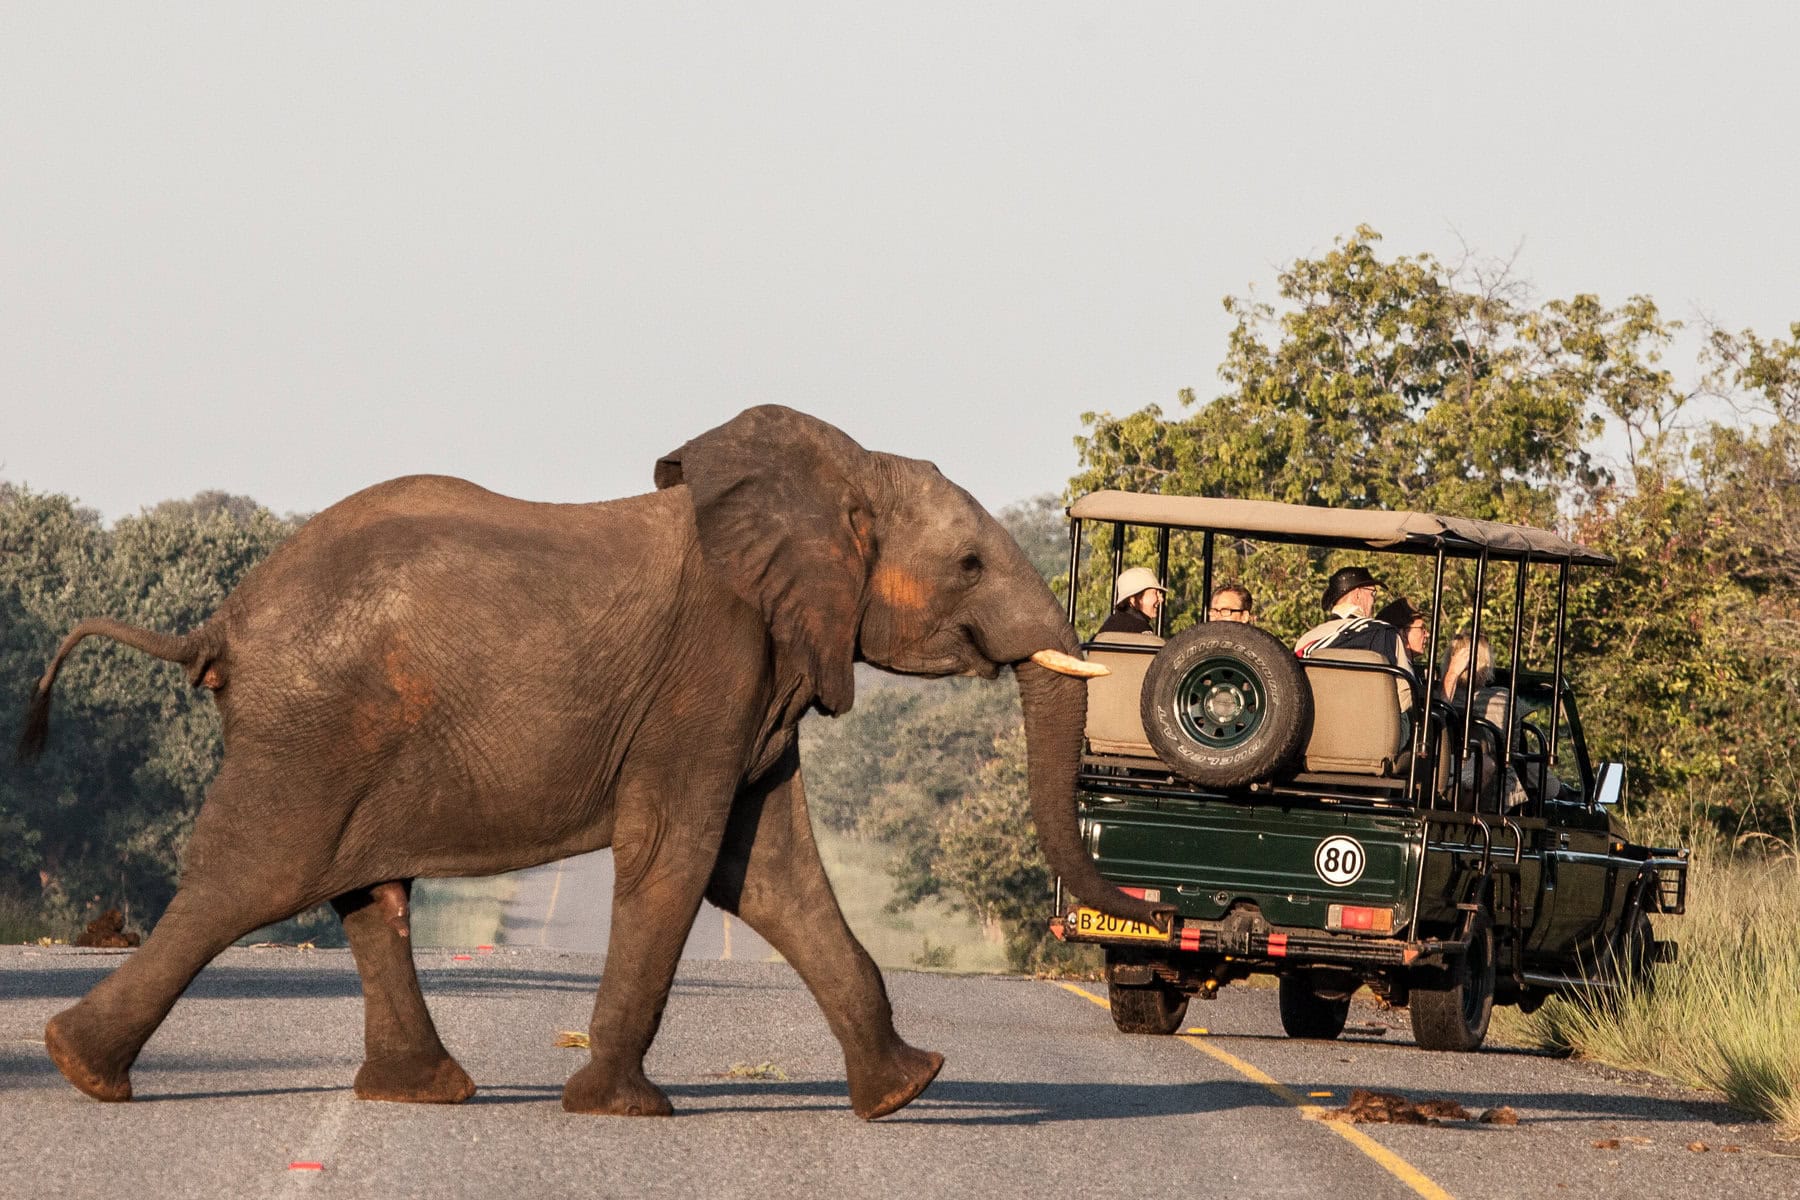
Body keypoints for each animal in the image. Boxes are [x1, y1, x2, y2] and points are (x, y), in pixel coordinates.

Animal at [18, 404, 1171, 1119]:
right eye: (970, 563)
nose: (1161, 908)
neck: (829, 478)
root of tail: (220, 622)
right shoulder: (710, 667)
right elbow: (681, 852)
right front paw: (624, 1110)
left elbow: (767, 871)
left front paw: (909, 1091)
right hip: (312, 730)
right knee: (256, 878)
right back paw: (80, 1070)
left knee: (365, 891)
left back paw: (423, 1093)